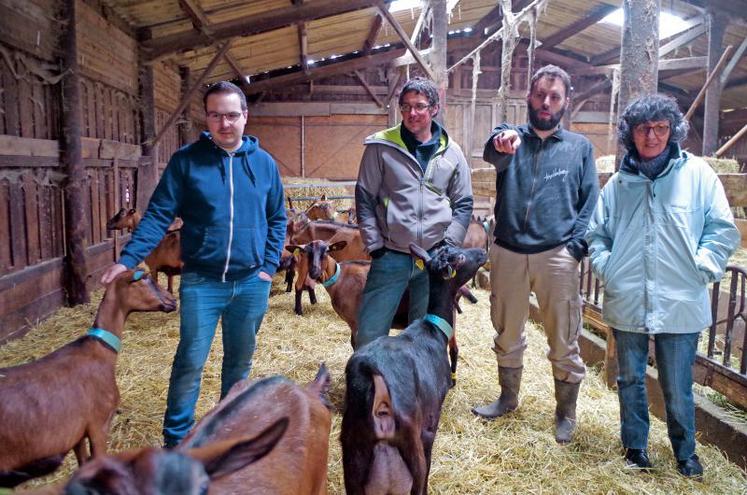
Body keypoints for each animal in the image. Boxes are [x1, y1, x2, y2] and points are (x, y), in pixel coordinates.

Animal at [0, 272, 177, 488]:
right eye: (144, 279)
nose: (173, 301)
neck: (98, 349)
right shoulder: (99, 425)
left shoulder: (77, 433)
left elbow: (83, 464)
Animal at [342, 245, 488, 495]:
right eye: (459, 257)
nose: (482, 251)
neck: (435, 330)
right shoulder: (431, 420)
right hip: (411, 439)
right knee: (419, 476)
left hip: (352, 453)